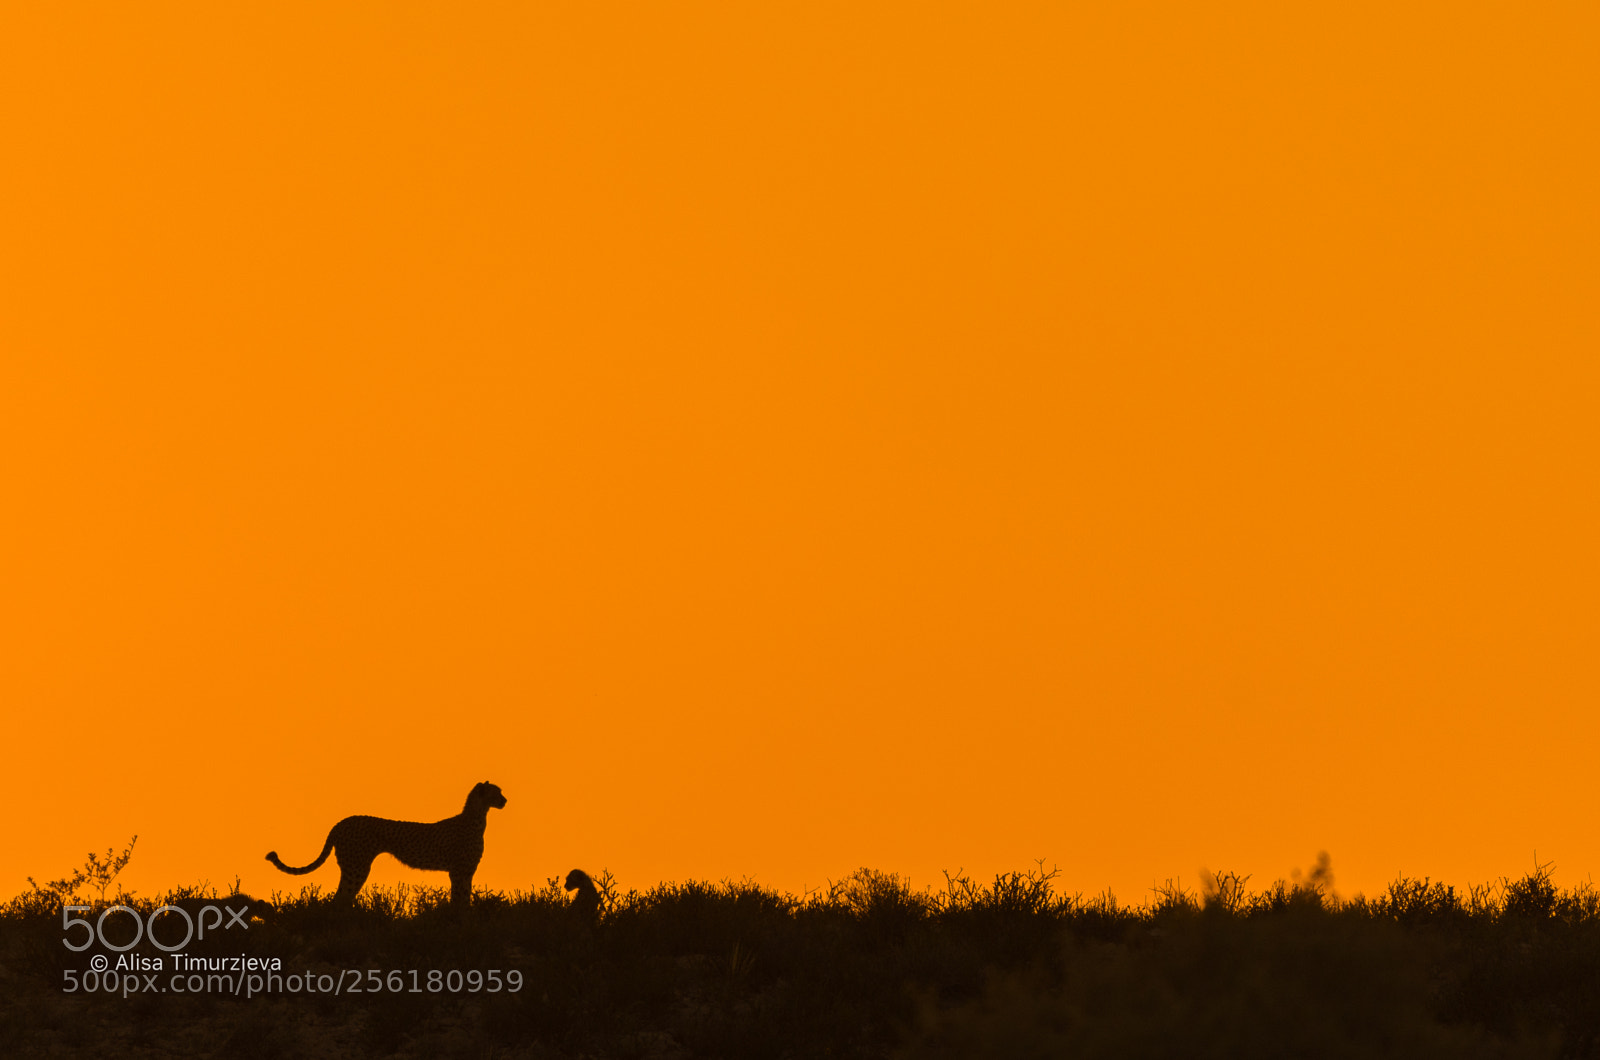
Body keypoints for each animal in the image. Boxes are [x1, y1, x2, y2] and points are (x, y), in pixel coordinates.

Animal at [265, 781, 507, 908]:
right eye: (497, 792)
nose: (506, 800)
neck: (477, 817)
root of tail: (342, 822)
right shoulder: (458, 871)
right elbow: (459, 899)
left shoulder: (465, 872)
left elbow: (464, 898)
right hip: (357, 867)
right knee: (340, 899)